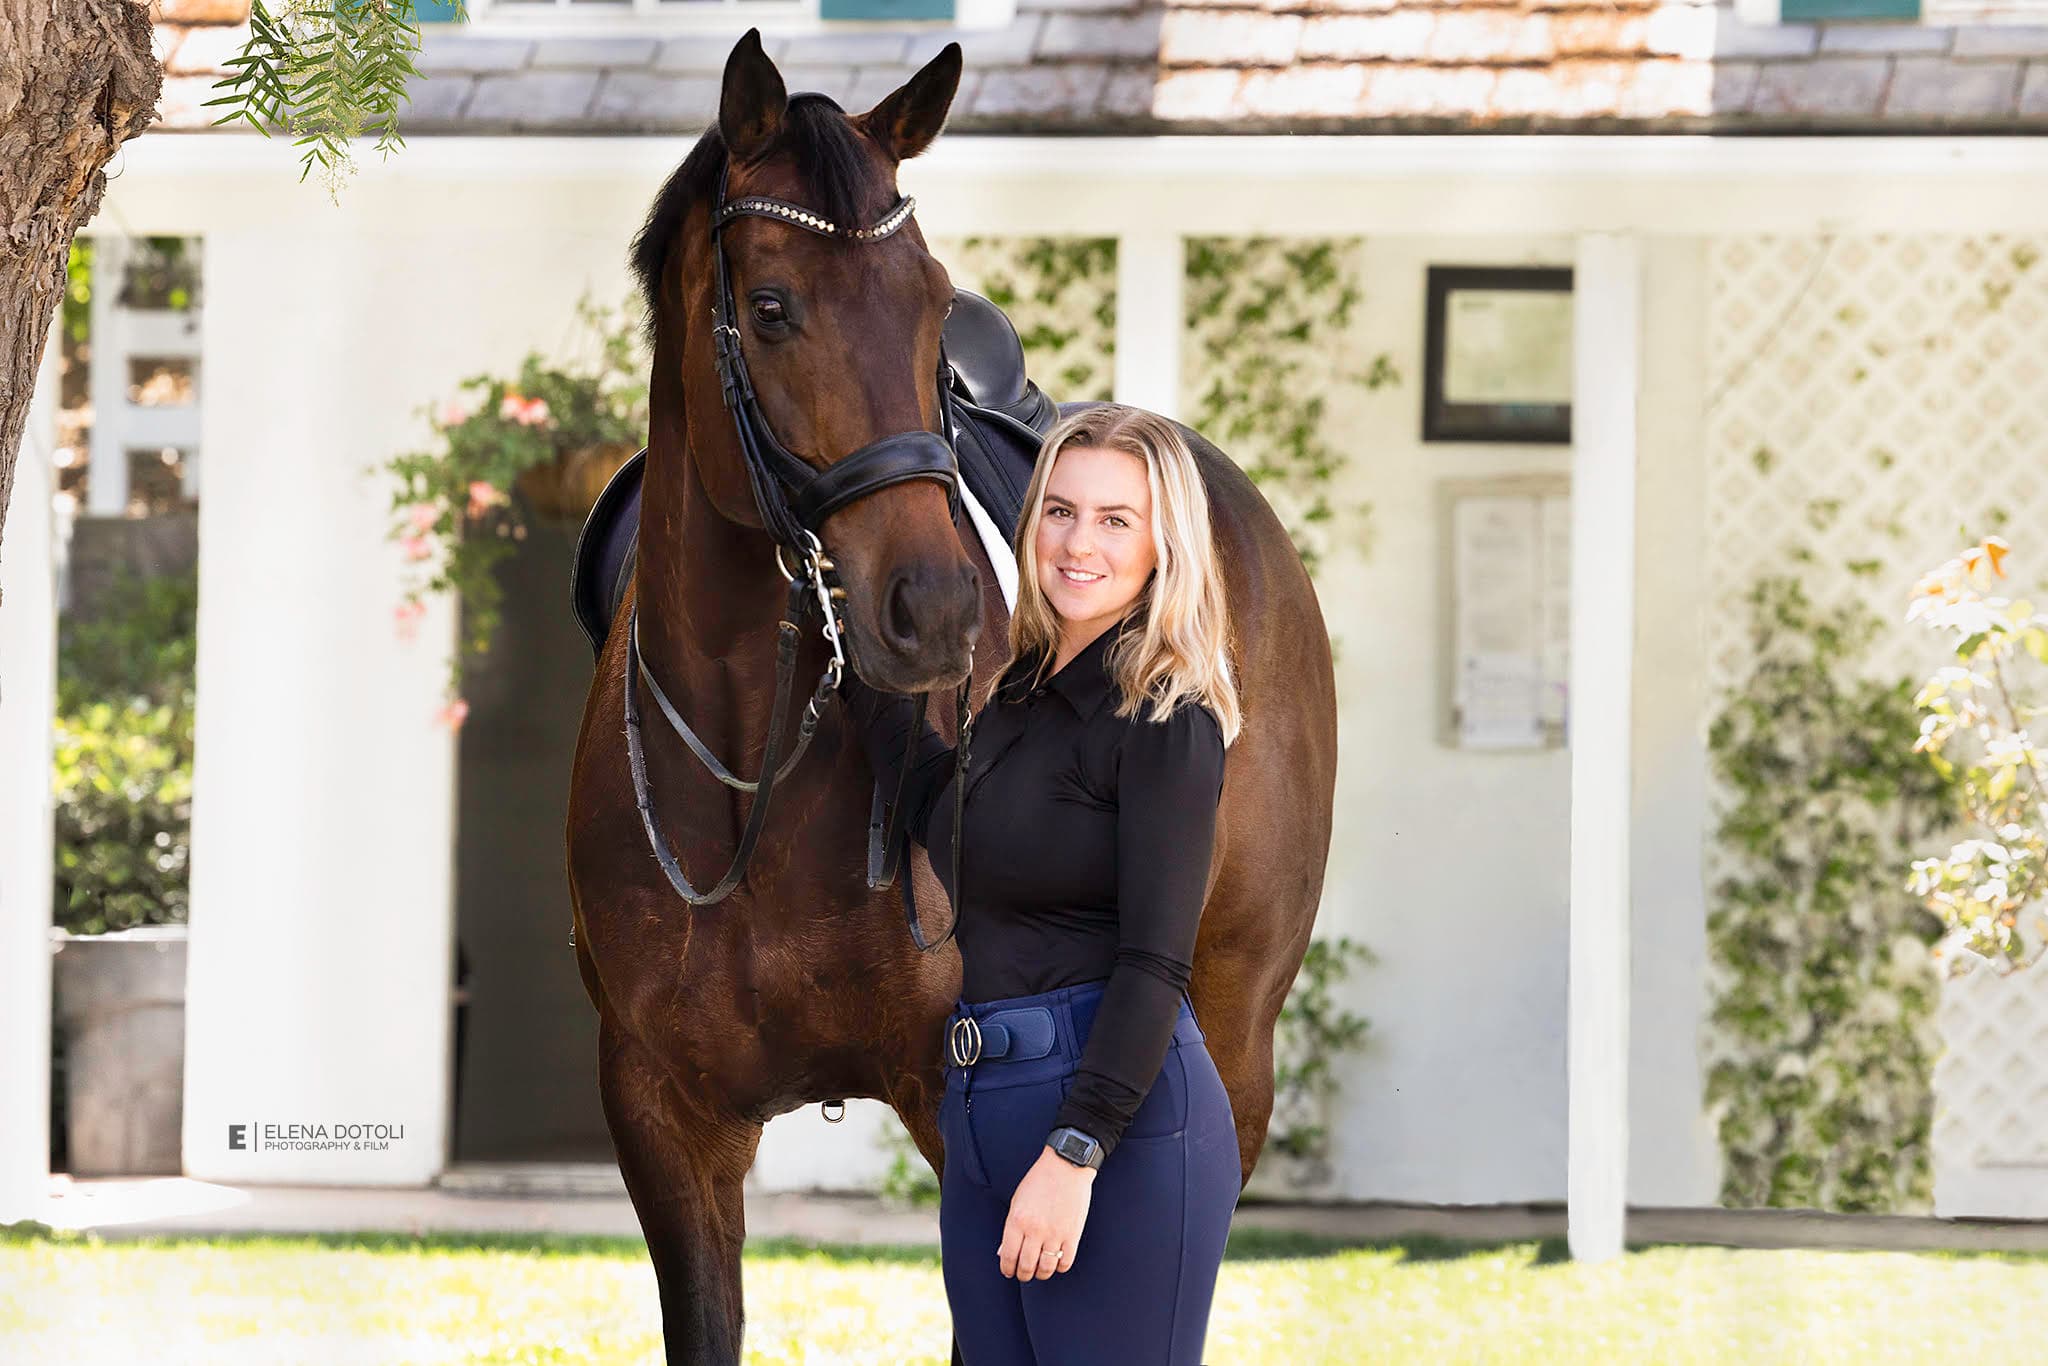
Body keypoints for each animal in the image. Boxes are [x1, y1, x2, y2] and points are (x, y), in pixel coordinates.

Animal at [564, 30, 1337, 1364]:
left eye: (932, 308)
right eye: (771, 308)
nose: (932, 610)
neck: (746, 776)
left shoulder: (956, 1099)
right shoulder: (665, 1120)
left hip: (1231, 1033)